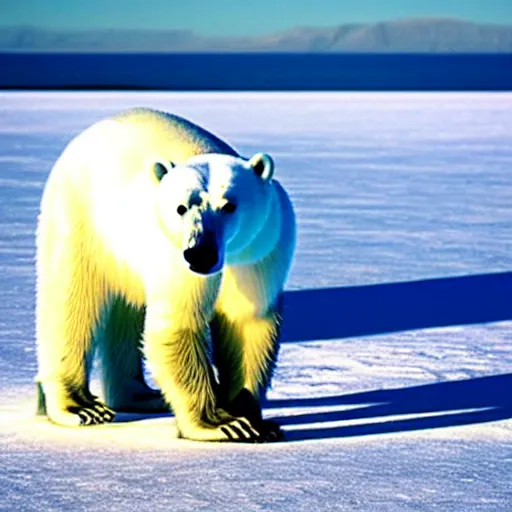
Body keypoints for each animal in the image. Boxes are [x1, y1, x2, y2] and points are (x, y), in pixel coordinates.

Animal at [36, 107, 296, 440]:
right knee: (71, 301)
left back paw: (142, 396)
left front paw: (255, 419)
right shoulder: (174, 256)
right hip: (80, 215)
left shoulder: (259, 250)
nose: (200, 254)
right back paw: (81, 407)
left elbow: (247, 321)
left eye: (229, 206)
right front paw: (224, 424)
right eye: (180, 208)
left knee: (125, 308)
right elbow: (178, 323)